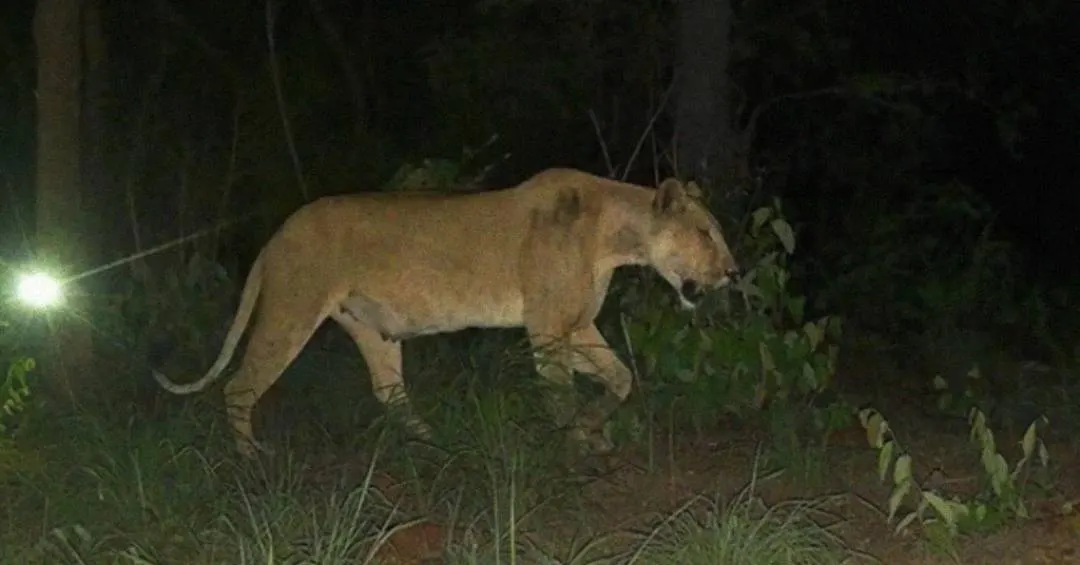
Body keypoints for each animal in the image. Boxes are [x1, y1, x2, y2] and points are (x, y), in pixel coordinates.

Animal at [153, 168, 739, 458]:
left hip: (372, 330)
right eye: (706, 234)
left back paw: (439, 444)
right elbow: (561, 393)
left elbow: (620, 378)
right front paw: (575, 444)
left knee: (390, 394)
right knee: (239, 387)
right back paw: (251, 458)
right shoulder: (548, 328)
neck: (616, 238)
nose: (734, 273)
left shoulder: (575, 325)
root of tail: (276, 234)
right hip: (291, 311)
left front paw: (594, 432)